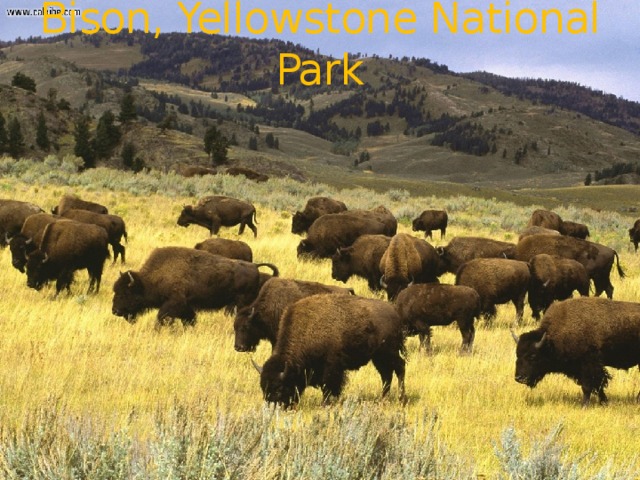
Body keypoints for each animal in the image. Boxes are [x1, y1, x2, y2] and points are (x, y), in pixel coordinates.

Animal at [110, 248, 280, 326]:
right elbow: (189, 320)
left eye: (125, 293)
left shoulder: (173, 303)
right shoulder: (186, 307)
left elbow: (161, 317)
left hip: (240, 303)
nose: (115, 311)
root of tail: (255, 266)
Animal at [255, 294, 404, 406]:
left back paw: (401, 398)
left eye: (279, 388)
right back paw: (384, 398)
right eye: (263, 388)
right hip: (378, 357)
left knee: (399, 368)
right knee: (386, 375)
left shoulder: (331, 367)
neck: (307, 329)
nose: (274, 407)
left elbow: (328, 386)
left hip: (388, 353)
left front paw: (325, 404)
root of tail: (394, 313)